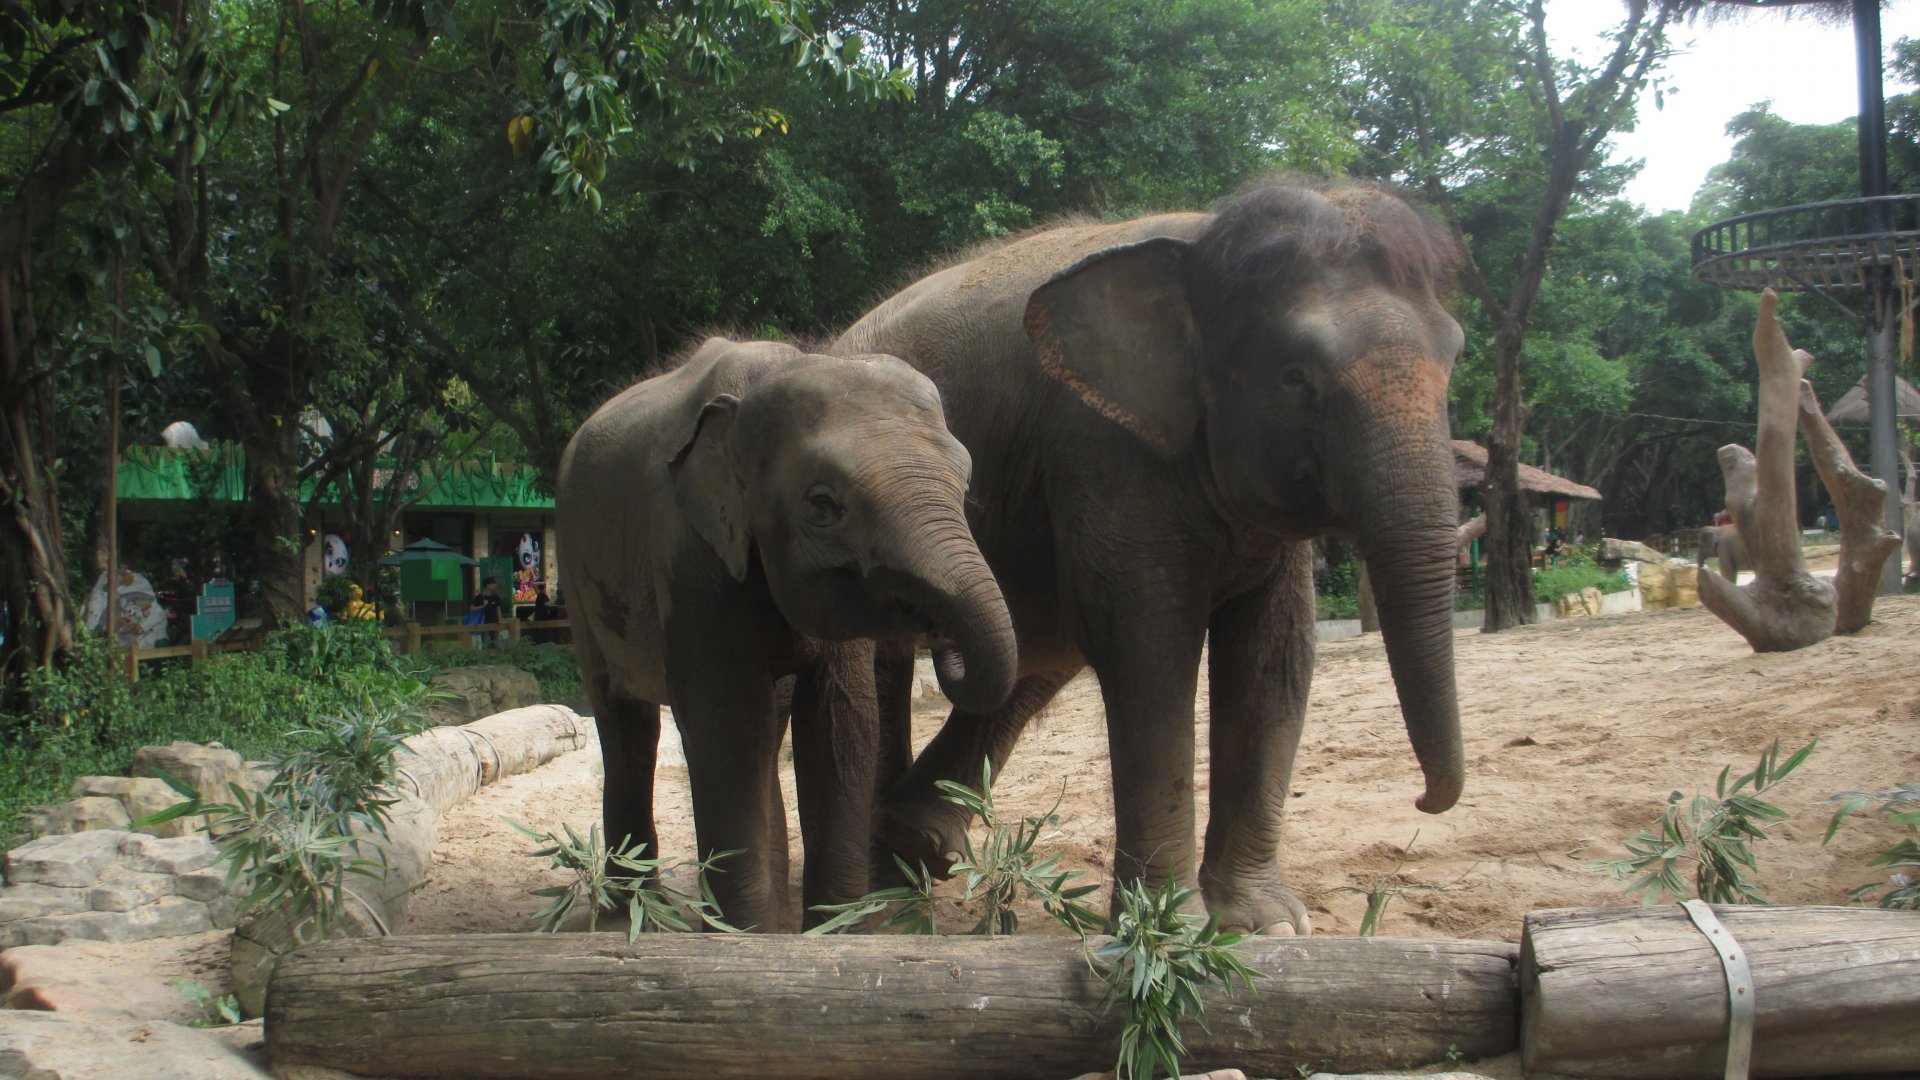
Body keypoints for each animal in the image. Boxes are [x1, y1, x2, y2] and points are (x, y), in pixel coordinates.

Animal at [554, 338, 1017, 931]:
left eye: (964, 484)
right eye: (822, 505)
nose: (937, 634)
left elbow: (842, 721)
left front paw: (836, 933)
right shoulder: (689, 558)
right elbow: (726, 725)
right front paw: (744, 937)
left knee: (765, 722)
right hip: (578, 582)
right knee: (627, 726)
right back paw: (629, 913)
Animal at [833, 175, 1468, 935]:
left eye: (1457, 357)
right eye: (1295, 378)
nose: (1425, 802)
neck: (1203, 239)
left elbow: (1275, 654)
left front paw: (1264, 926)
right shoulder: (1101, 447)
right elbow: (1149, 648)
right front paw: (1169, 929)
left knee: (1035, 656)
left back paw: (917, 842)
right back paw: (882, 904)